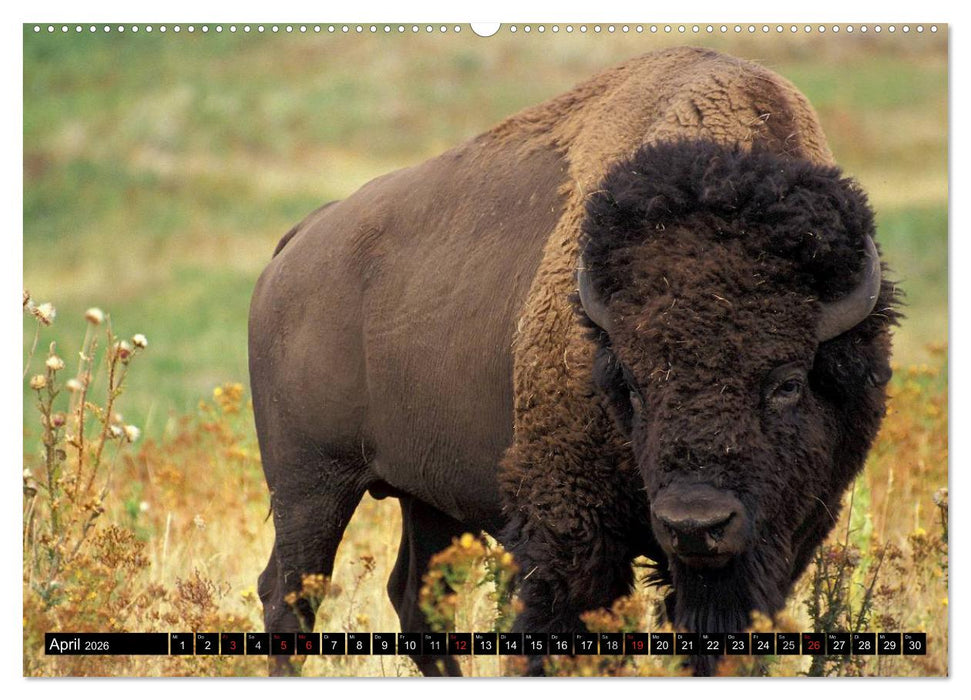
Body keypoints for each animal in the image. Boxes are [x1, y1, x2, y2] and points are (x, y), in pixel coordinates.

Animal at [248, 47, 898, 676]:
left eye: (787, 383)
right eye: (631, 386)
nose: (696, 524)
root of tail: (297, 243)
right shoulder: (569, 529)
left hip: (426, 496)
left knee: (416, 603)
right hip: (310, 482)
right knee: (290, 595)